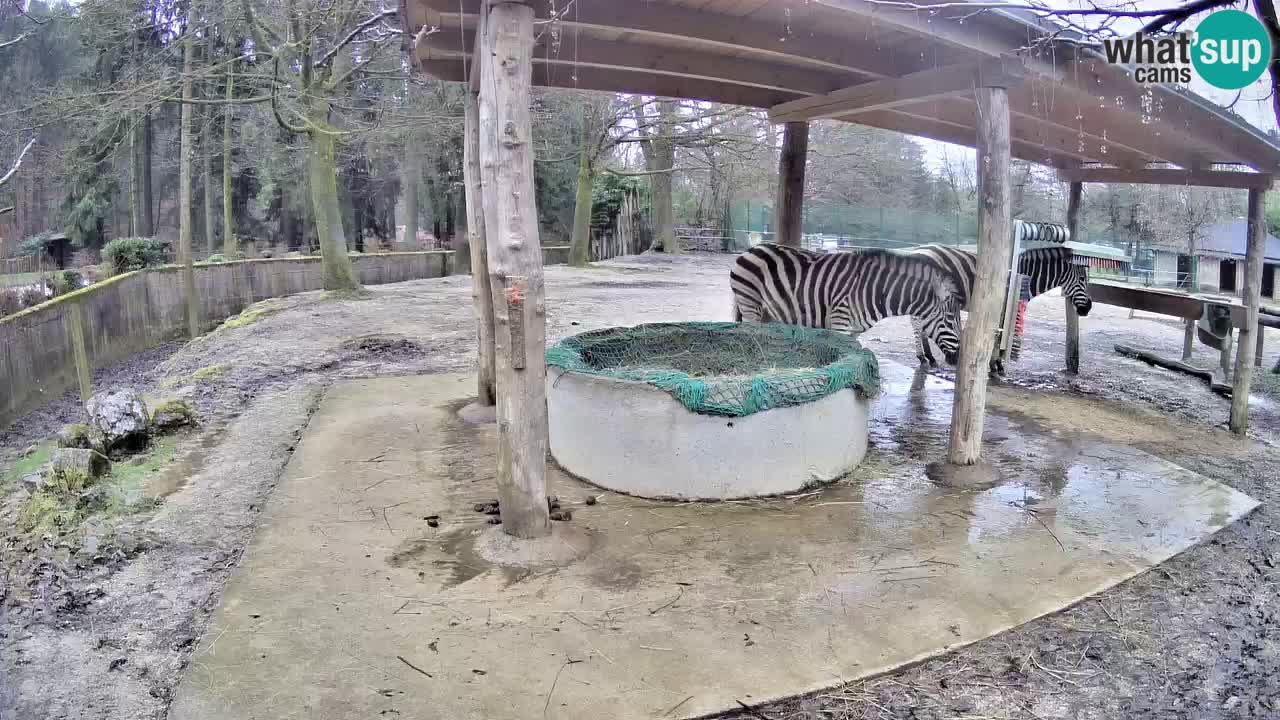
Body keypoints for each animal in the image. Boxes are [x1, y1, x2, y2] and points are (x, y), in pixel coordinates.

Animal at [732, 242, 962, 363]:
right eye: (950, 320)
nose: (959, 359)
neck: (875, 290)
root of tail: (752, 249)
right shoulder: (840, 322)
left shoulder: (854, 331)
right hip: (750, 304)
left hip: (766, 311)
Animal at [906, 240, 1095, 366]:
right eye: (1082, 279)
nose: (1088, 308)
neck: (1023, 275)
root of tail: (917, 250)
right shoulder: (1003, 306)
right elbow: (998, 335)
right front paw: (995, 364)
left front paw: (995, 364)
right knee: (917, 323)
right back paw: (924, 356)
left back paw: (927, 356)